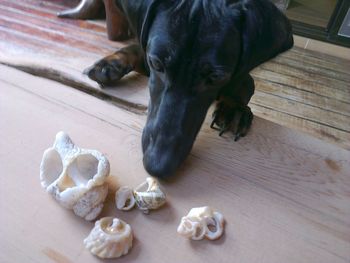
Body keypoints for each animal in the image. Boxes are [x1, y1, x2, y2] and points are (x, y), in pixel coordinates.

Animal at [60, 0, 292, 179]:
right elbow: (139, 48)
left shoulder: (242, 75)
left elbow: (240, 88)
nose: (156, 166)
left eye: (216, 77)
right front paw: (112, 62)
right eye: (157, 63)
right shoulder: (148, 50)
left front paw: (233, 109)